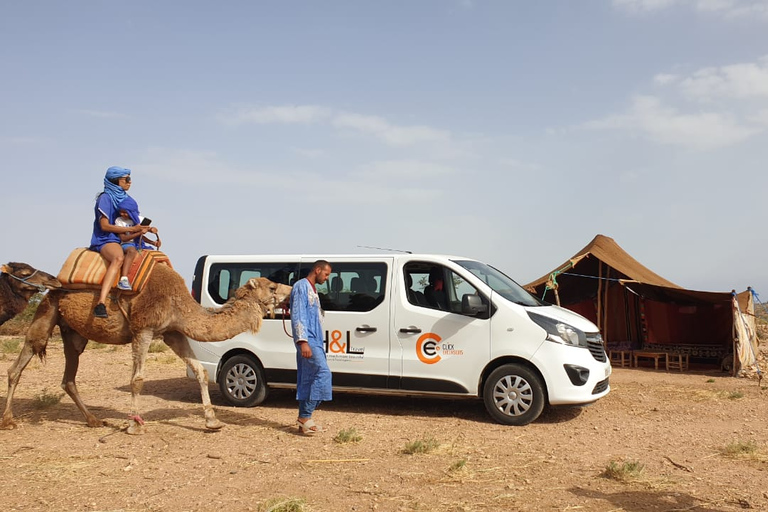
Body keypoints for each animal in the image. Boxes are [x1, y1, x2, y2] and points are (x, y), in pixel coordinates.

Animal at [0, 262, 292, 434]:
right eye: (272, 286)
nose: (291, 289)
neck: (180, 303)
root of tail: (55, 287)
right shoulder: (144, 329)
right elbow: (137, 378)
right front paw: (133, 424)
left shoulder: (172, 332)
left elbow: (200, 370)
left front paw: (212, 421)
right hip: (47, 311)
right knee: (20, 362)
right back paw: (9, 420)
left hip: (73, 333)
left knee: (68, 378)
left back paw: (94, 420)